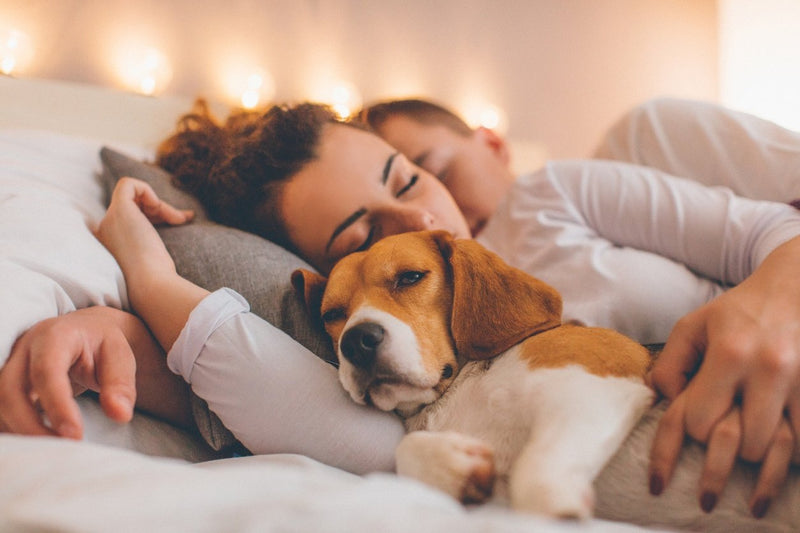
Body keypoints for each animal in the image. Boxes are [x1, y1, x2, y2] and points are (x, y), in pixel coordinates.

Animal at [294, 231, 800, 524]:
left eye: (410, 277)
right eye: (333, 314)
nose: (357, 341)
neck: (461, 390)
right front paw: (458, 469)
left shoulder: (594, 385)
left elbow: (535, 478)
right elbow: (407, 449)